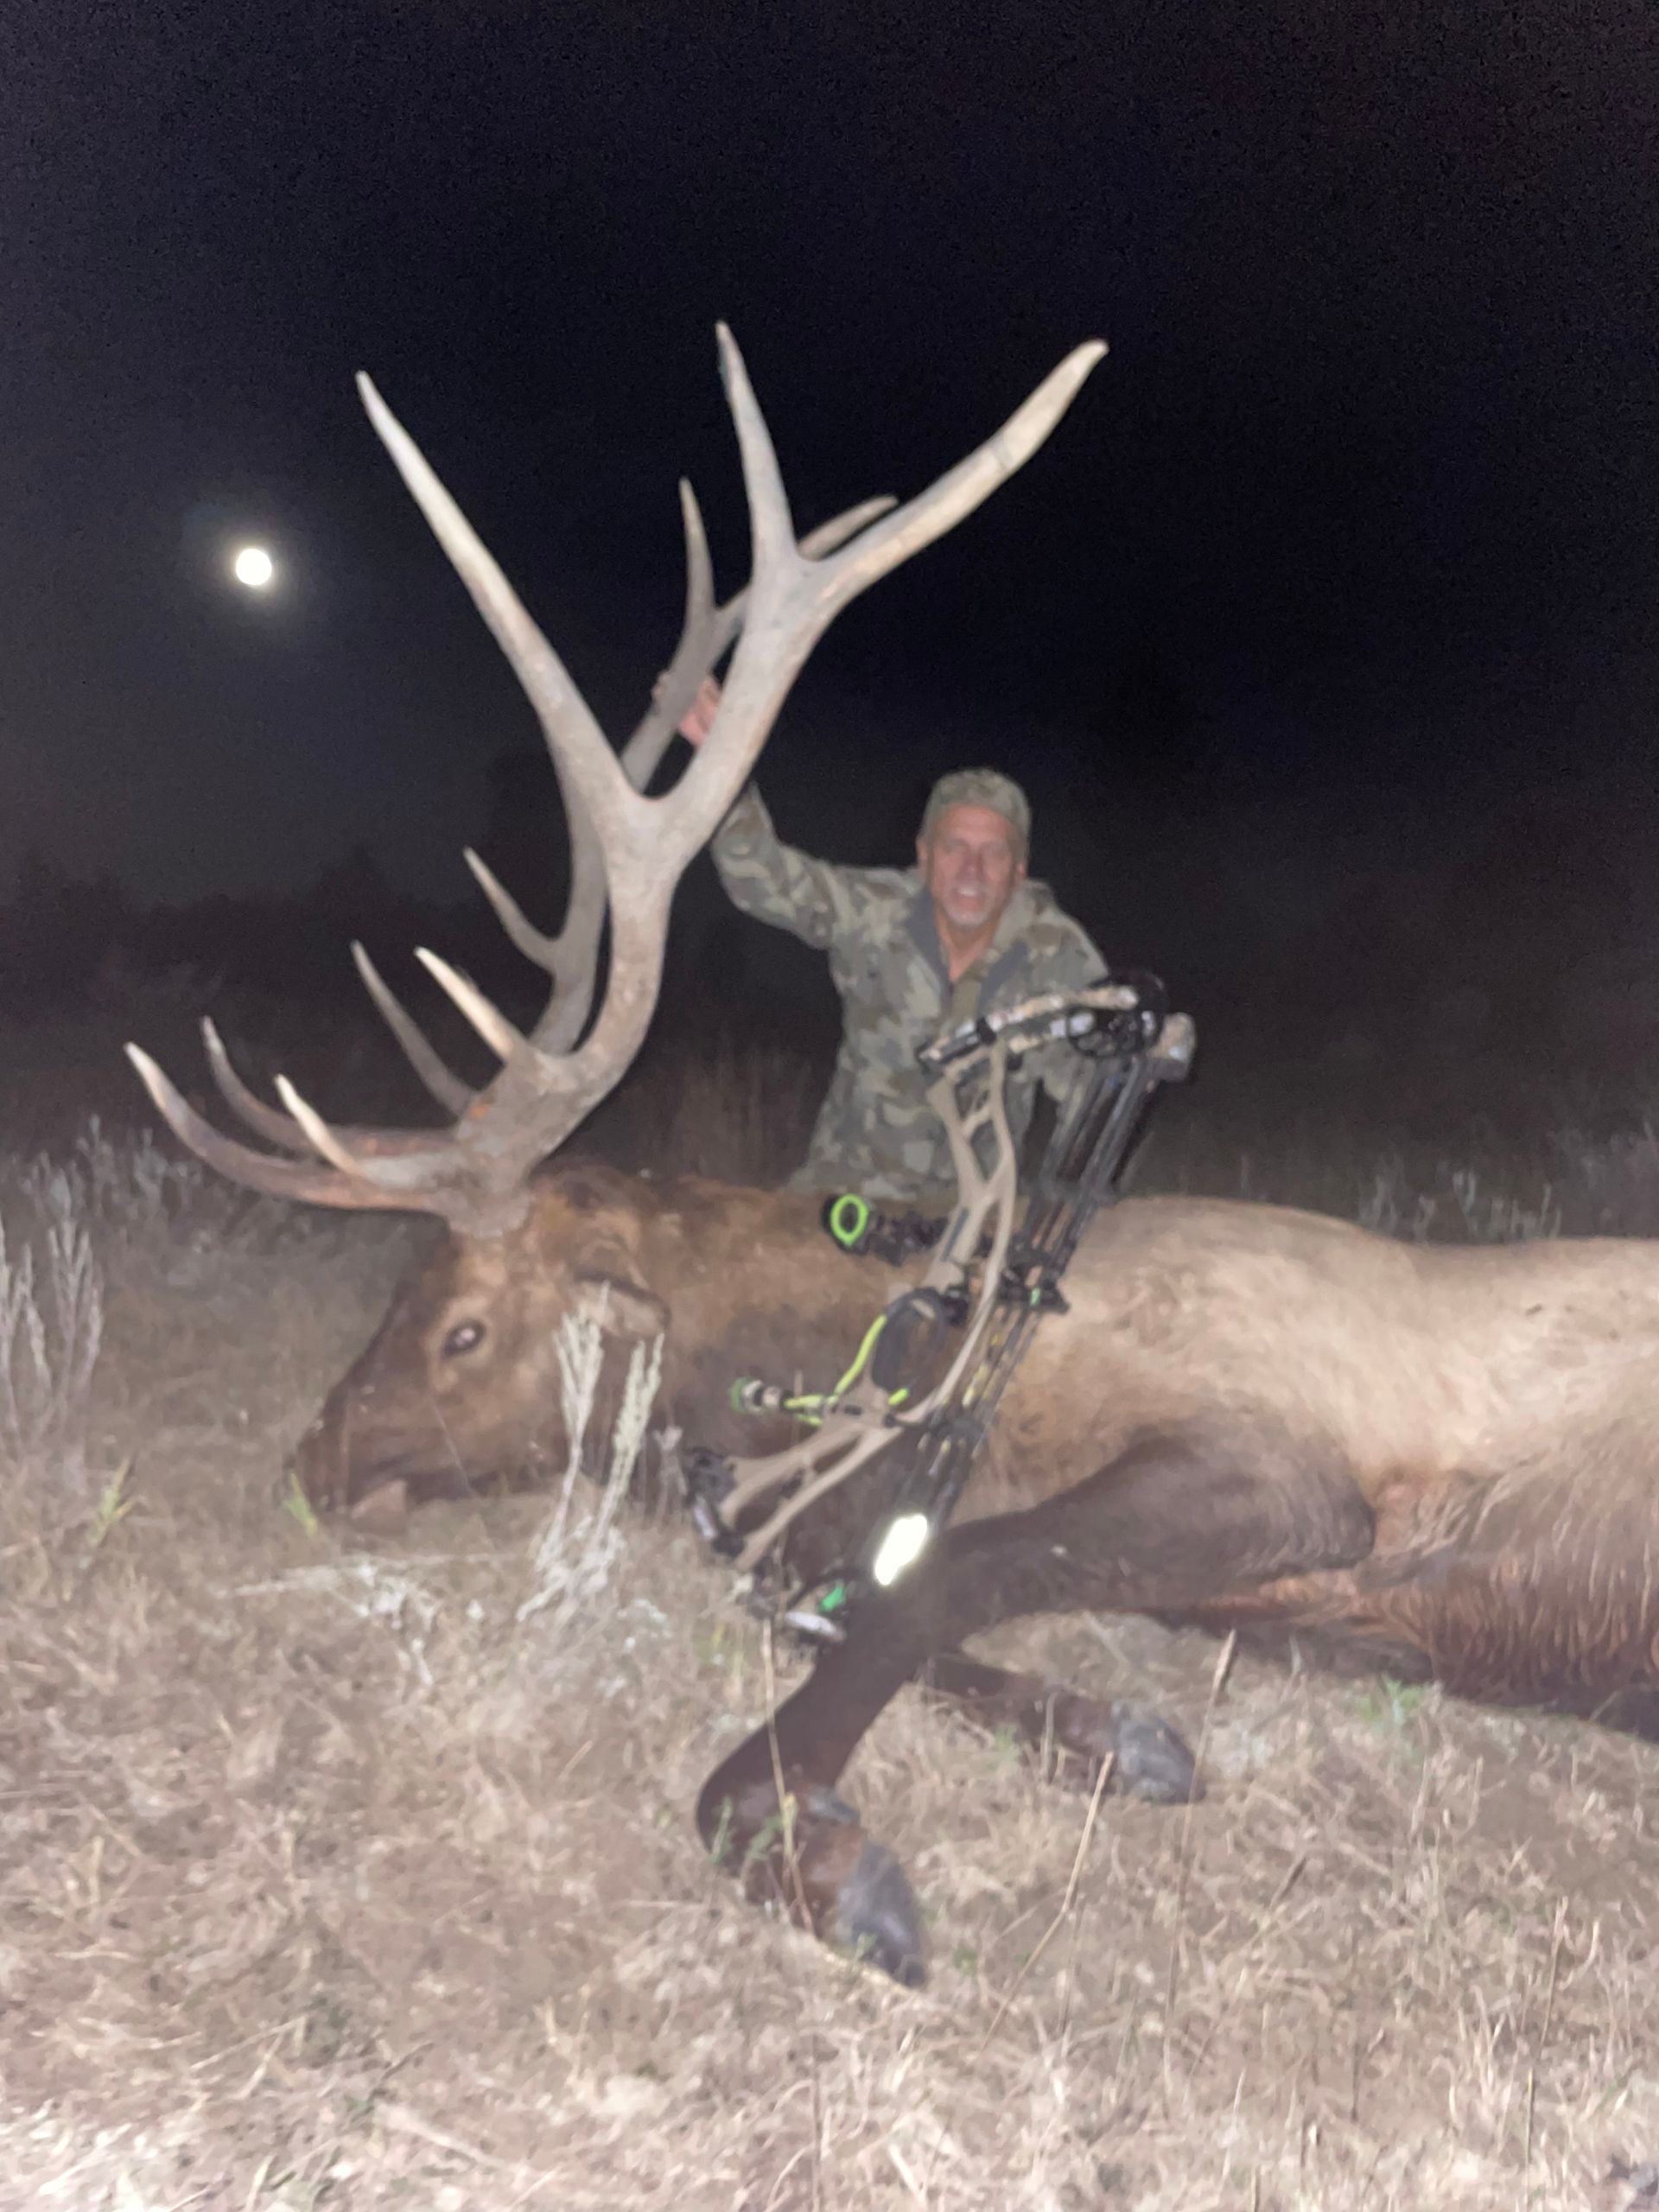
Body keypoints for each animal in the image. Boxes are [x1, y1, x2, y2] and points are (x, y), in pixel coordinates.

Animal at [129, 331, 1659, 1989]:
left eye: (464, 1327)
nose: (309, 1462)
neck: (912, 1341)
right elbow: (861, 1597)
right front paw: (1117, 1730)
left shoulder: (1290, 1459)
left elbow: (933, 1578)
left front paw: (820, 1851)